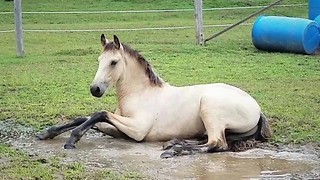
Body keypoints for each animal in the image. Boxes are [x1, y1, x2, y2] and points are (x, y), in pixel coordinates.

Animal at [37, 34, 272, 158]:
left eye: (113, 62)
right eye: (98, 60)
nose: (95, 89)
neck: (140, 94)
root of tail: (258, 108)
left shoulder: (137, 130)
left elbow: (99, 113)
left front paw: (72, 140)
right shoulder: (122, 129)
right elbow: (87, 118)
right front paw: (48, 133)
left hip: (210, 109)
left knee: (217, 144)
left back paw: (173, 149)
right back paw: (174, 143)